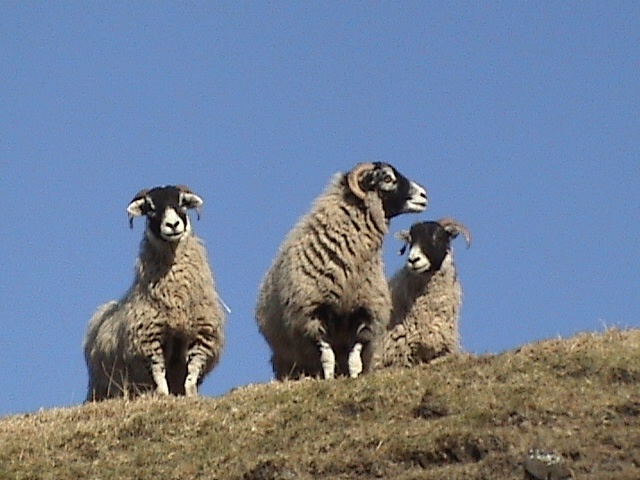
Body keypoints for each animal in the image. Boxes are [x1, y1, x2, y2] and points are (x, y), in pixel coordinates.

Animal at [83, 185, 225, 401]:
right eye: (150, 208)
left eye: (182, 202)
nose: (173, 225)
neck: (176, 296)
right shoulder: (148, 338)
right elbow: (159, 372)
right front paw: (163, 395)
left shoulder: (203, 334)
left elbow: (192, 371)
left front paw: (190, 394)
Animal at [255, 162, 428, 380]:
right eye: (387, 178)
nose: (424, 195)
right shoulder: (311, 314)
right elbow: (327, 356)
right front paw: (329, 379)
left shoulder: (366, 313)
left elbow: (355, 357)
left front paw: (354, 377)